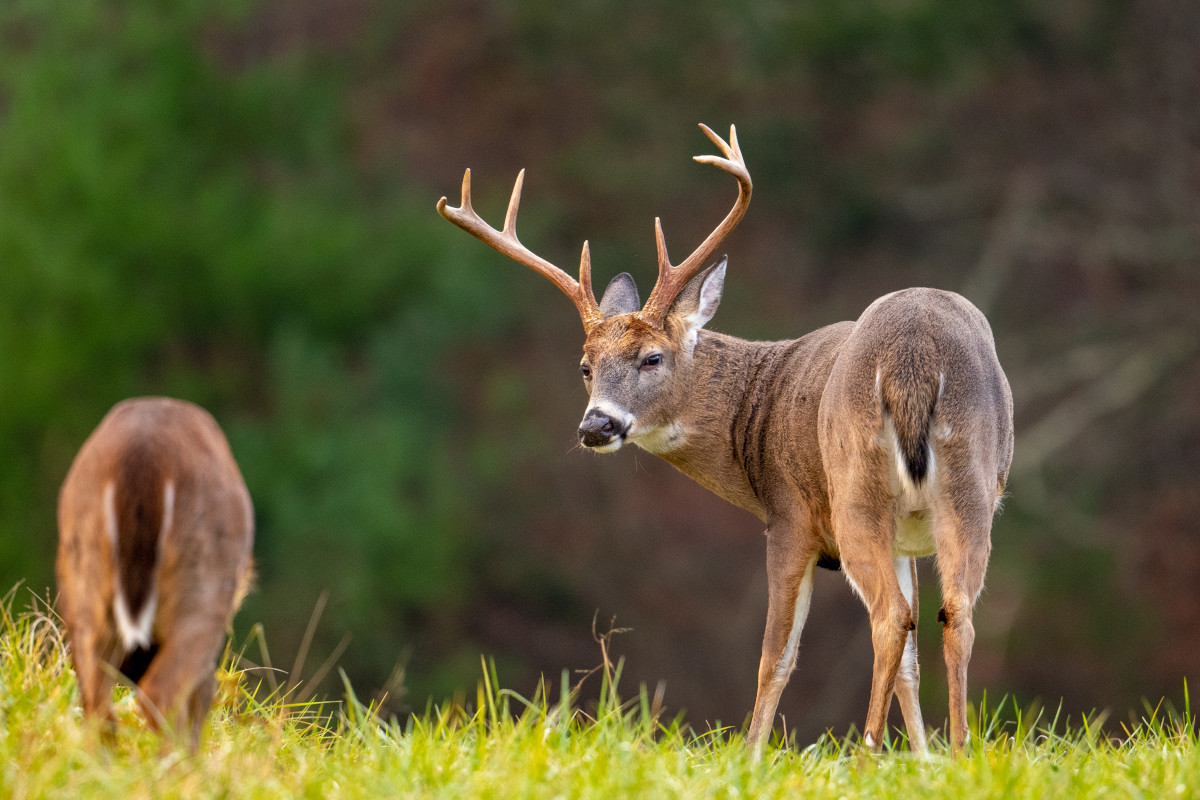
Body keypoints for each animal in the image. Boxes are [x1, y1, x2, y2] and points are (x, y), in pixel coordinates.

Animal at [436, 122, 1008, 753]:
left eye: (652, 357)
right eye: (585, 366)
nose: (595, 426)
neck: (755, 413)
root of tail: (914, 355)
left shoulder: (789, 517)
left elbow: (774, 657)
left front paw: (753, 755)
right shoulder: (906, 537)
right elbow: (910, 664)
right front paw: (924, 759)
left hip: (855, 492)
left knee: (890, 618)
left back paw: (863, 755)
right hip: (971, 484)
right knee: (953, 614)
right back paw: (958, 753)